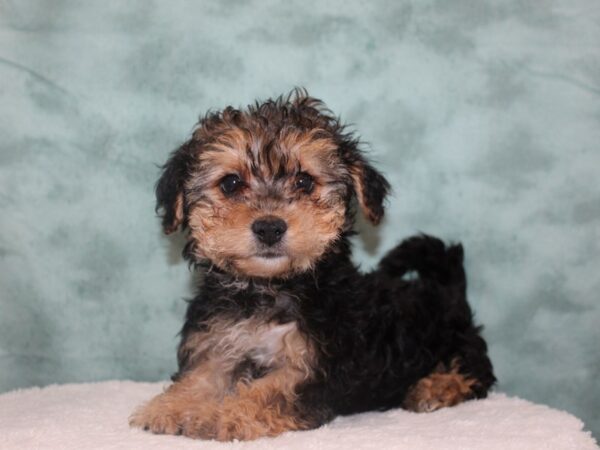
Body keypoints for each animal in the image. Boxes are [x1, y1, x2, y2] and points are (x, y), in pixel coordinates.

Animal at [129, 89, 494, 442]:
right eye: (230, 183)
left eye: (304, 182)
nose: (269, 227)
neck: (269, 287)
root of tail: (449, 289)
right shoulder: (218, 339)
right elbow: (202, 374)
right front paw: (172, 406)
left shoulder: (318, 367)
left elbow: (270, 391)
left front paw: (222, 415)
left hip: (457, 342)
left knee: (476, 373)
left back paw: (436, 388)